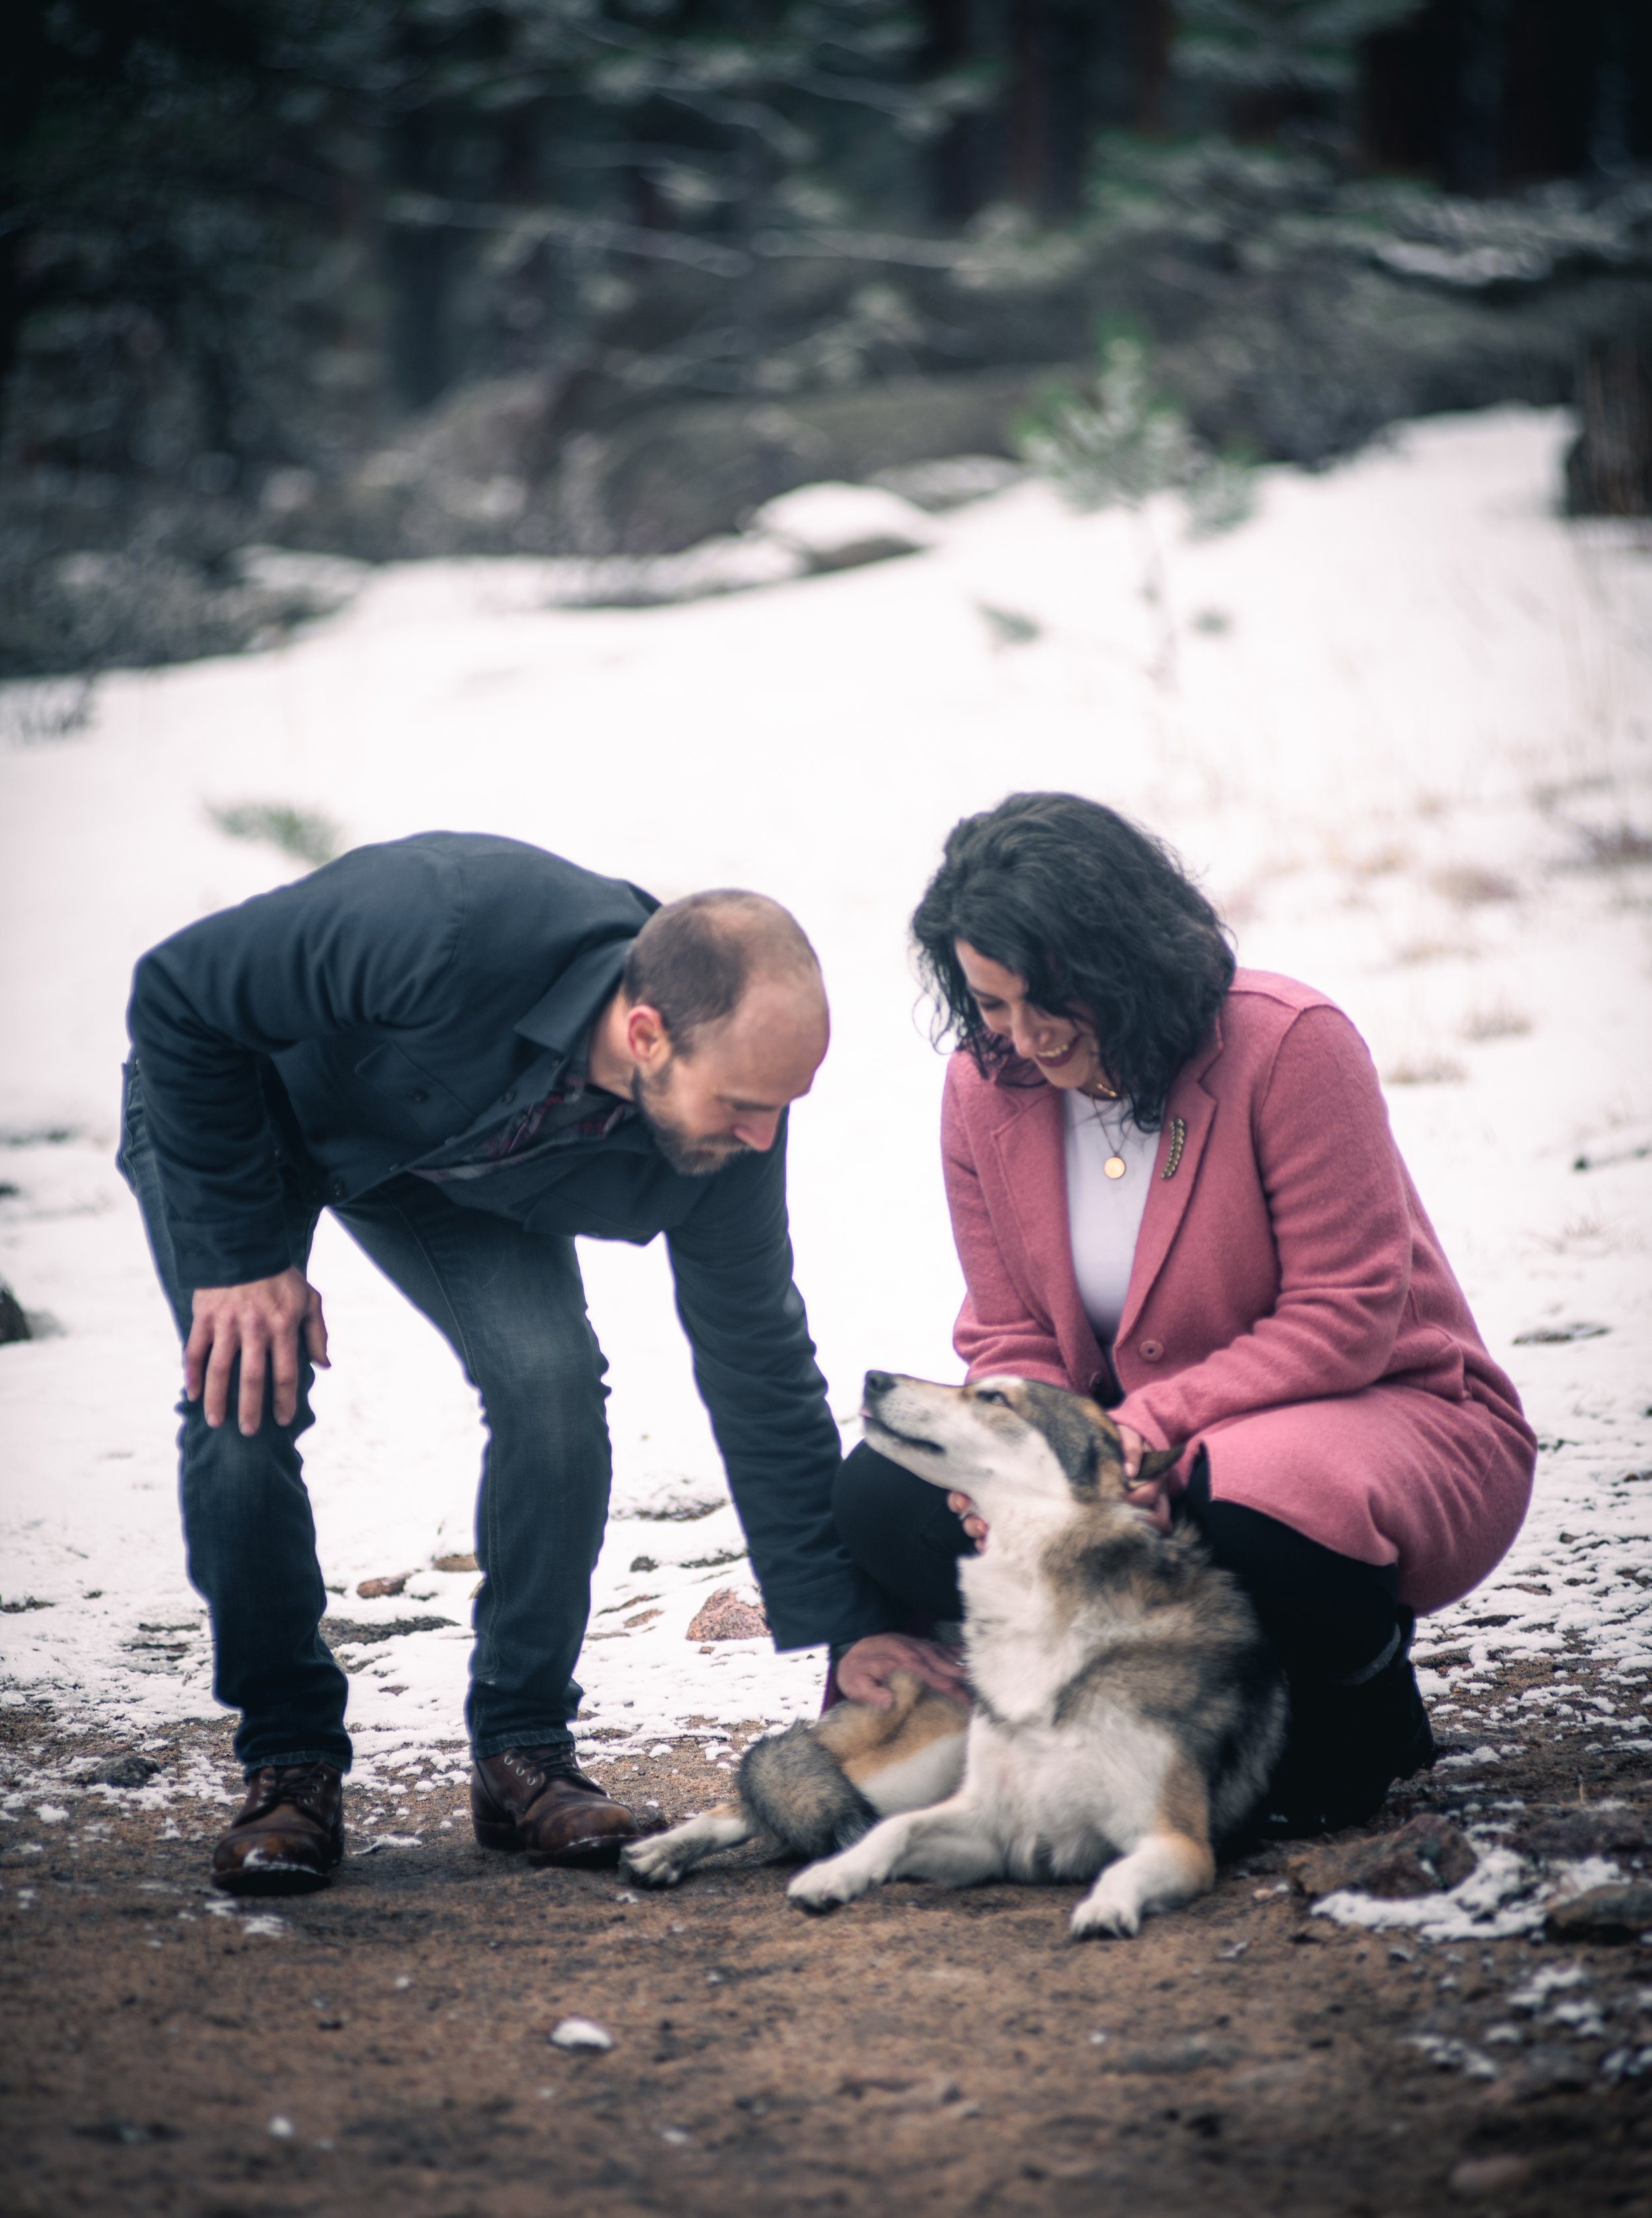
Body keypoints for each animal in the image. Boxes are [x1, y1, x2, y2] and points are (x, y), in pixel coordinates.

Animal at [781, 1370, 1287, 1939]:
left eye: (994, 1397)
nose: (874, 1377)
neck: (1046, 1617)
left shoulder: (1178, 1842)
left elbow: (1120, 1869)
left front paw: (1105, 1909)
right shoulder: (991, 1825)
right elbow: (894, 1830)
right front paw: (835, 1874)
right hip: (910, 1767)